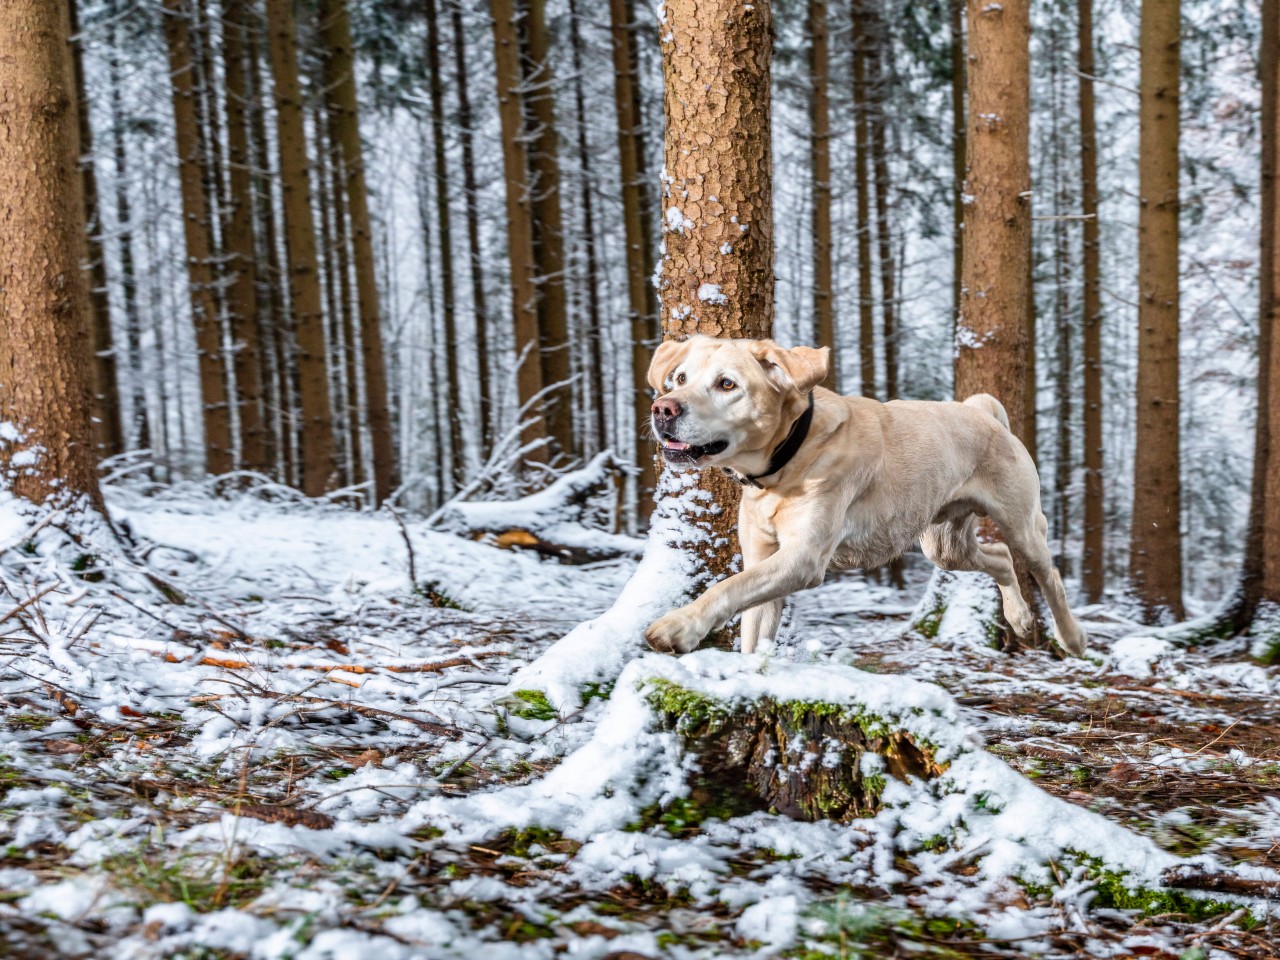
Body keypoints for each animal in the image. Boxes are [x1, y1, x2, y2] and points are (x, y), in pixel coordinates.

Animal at [645, 335, 1085, 660]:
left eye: (727, 384)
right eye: (680, 379)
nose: (662, 409)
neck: (786, 460)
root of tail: (984, 412)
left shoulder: (803, 558)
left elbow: (727, 587)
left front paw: (677, 626)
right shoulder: (762, 556)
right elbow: (749, 622)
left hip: (1022, 523)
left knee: (1048, 574)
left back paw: (1072, 638)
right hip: (945, 545)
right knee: (1000, 558)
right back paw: (1020, 617)